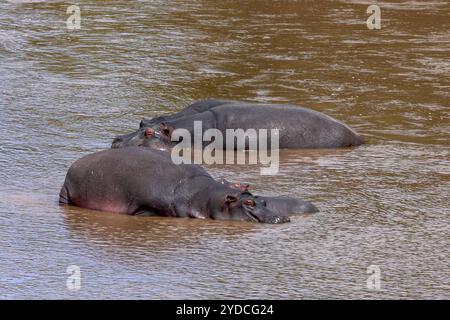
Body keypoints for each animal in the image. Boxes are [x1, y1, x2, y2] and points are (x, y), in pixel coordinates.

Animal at [59, 147, 302, 224]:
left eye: (262, 200)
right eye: (249, 203)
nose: (281, 218)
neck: (205, 197)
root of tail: (76, 163)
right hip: (66, 193)